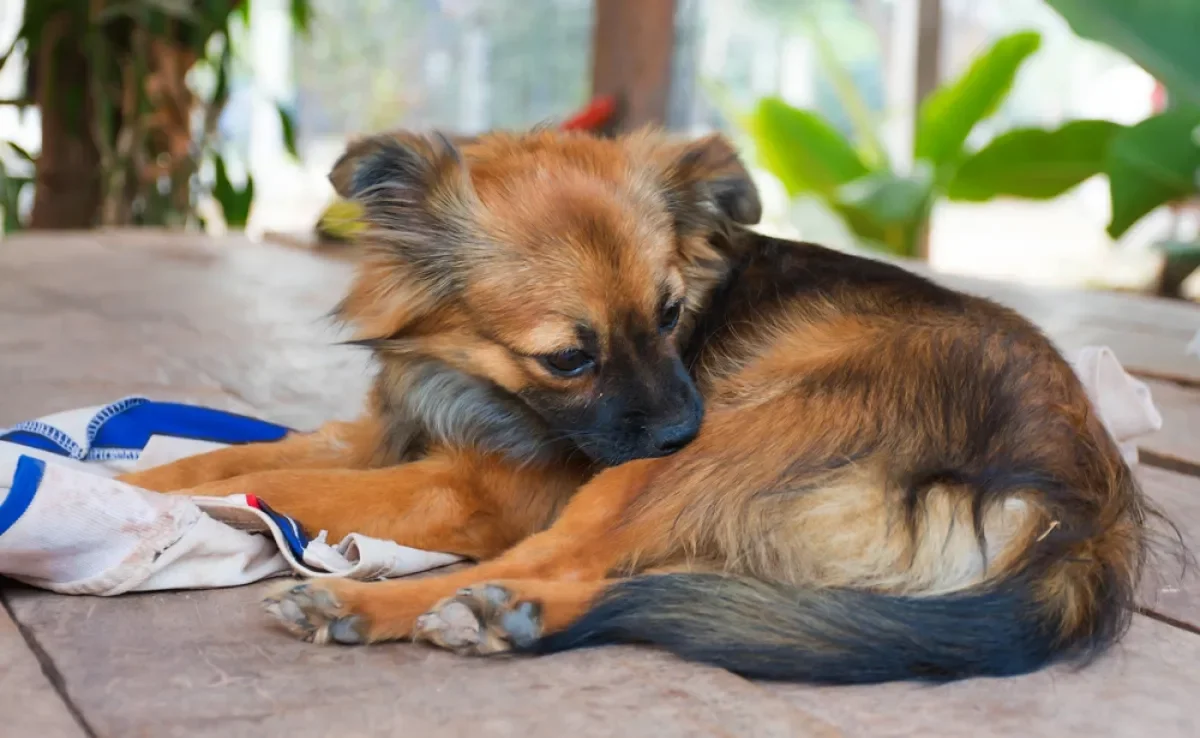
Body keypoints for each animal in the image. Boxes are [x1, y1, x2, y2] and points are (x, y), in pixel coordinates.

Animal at [119, 127, 1152, 686]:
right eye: (569, 357)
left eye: (669, 315)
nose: (678, 423)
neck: (471, 383)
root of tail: (1086, 516)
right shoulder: (381, 433)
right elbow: (235, 460)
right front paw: (135, 479)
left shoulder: (477, 491)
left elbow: (286, 482)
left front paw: (138, 505)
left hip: (693, 460)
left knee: (569, 562)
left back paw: (388, 604)